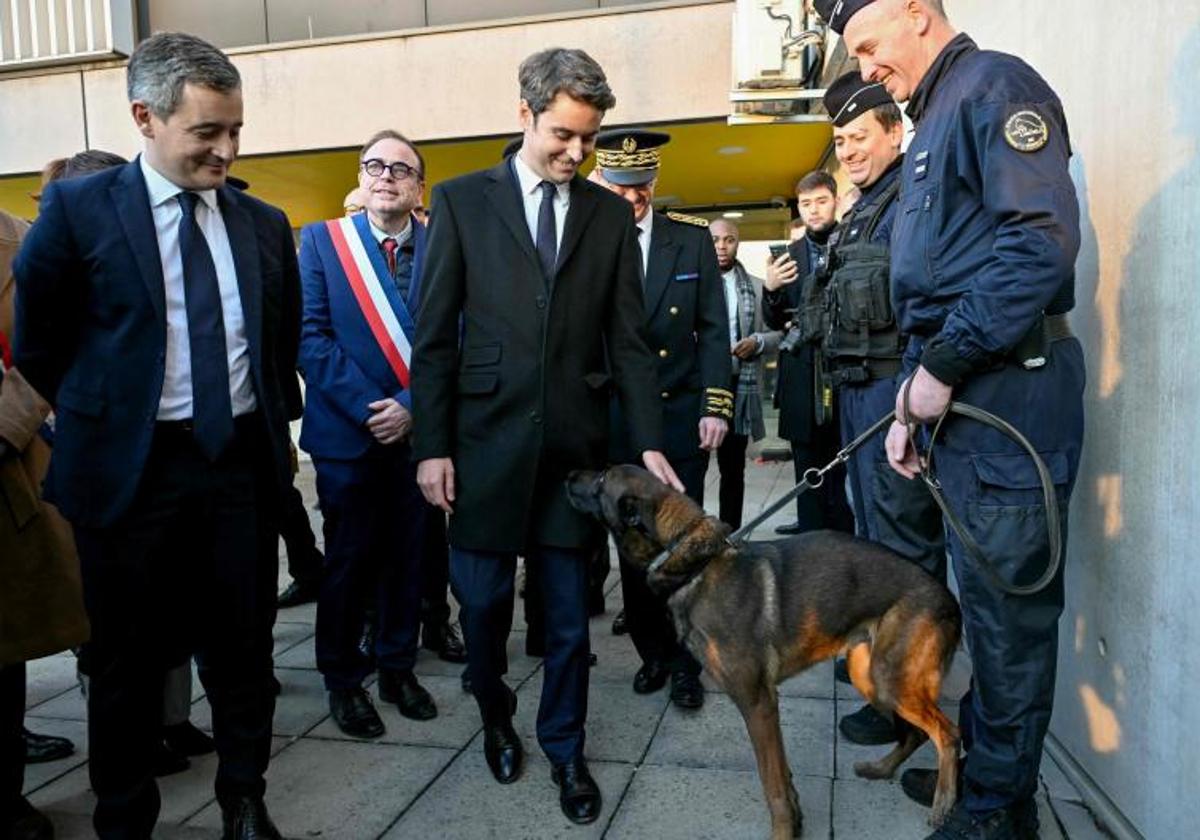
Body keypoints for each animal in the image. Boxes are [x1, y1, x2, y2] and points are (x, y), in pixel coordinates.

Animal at [564, 465, 964, 840]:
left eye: (601, 479)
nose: (567, 474)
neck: (693, 561)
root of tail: (949, 598)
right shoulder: (767, 707)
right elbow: (783, 774)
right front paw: (797, 819)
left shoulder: (757, 703)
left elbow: (771, 782)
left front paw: (784, 831)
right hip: (872, 677)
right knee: (916, 734)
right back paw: (881, 769)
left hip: (890, 680)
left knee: (949, 733)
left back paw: (944, 801)